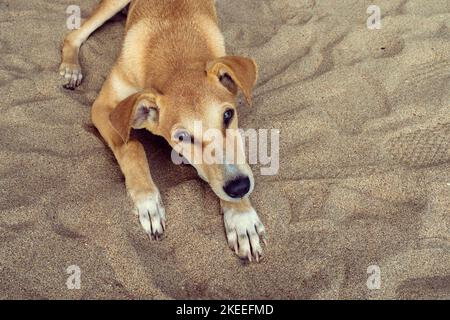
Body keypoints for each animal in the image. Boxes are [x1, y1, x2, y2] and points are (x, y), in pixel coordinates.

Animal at [59, 0, 264, 262]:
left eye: (228, 115)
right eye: (182, 137)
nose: (239, 188)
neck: (176, 55)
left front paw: (241, 218)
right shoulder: (104, 107)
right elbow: (132, 146)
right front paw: (147, 200)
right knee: (74, 34)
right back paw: (71, 68)